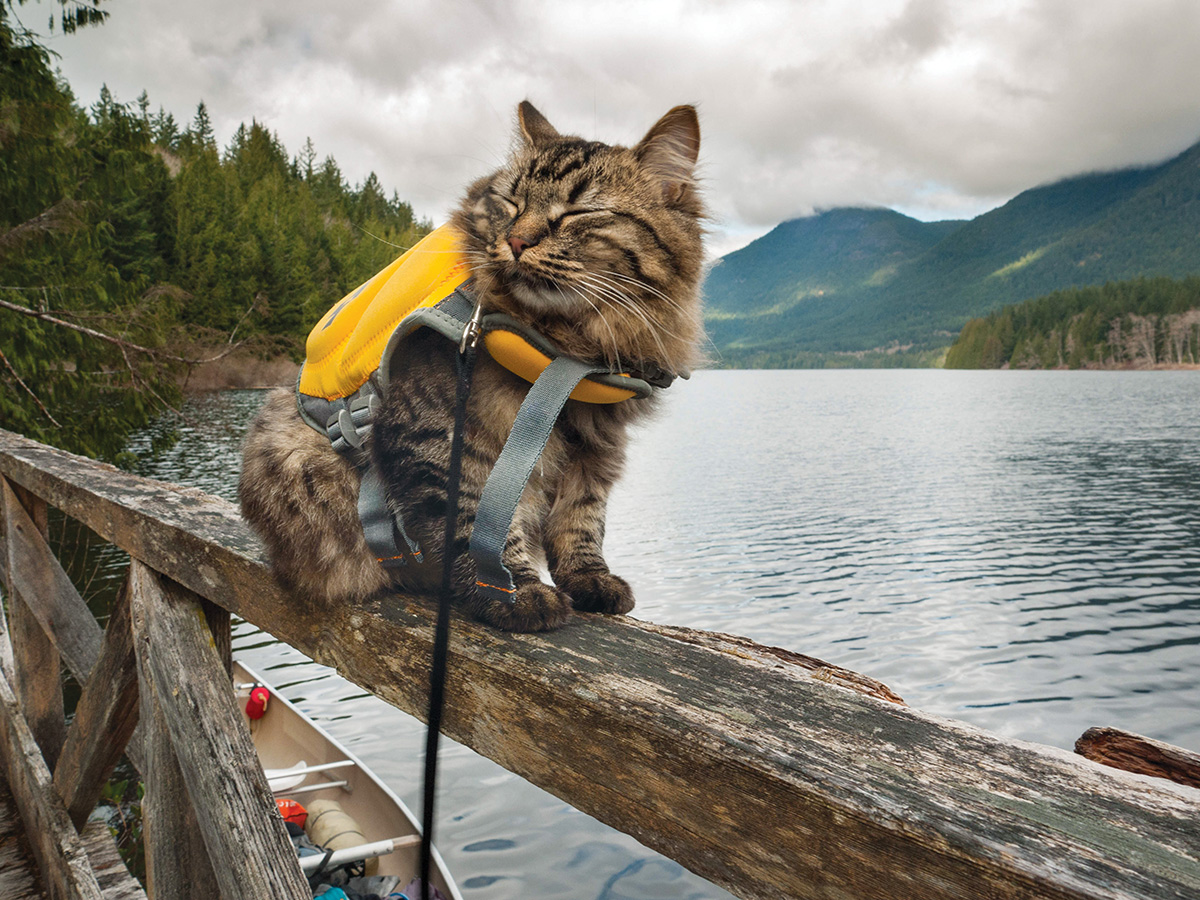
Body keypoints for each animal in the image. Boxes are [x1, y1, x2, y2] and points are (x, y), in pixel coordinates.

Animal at [238, 100, 700, 633]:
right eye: (512, 204)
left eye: (579, 212)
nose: (517, 242)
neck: (569, 352)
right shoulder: (446, 435)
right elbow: (476, 522)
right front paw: (512, 593)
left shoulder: (594, 447)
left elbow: (580, 520)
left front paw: (590, 579)